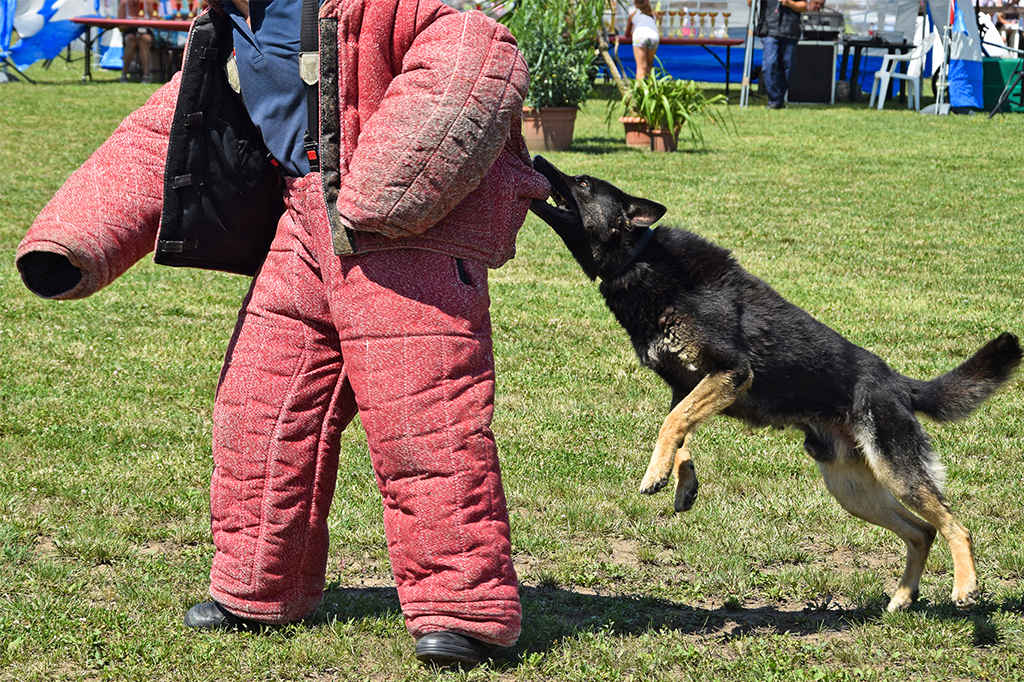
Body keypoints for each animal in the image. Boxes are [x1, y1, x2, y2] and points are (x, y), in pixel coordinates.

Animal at [532, 155, 1019, 610]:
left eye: (583, 183)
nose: (536, 159)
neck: (640, 259)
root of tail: (898, 384)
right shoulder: (687, 385)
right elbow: (679, 426)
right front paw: (682, 481)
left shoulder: (731, 372)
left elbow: (672, 423)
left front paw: (655, 474)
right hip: (852, 491)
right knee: (921, 532)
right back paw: (902, 598)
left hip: (896, 473)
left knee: (956, 526)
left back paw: (965, 585)